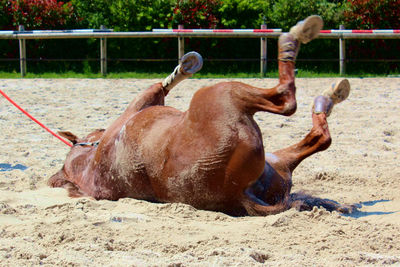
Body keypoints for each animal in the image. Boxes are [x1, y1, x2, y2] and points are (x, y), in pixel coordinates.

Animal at [49, 16, 354, 216]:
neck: (90, 164)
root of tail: (240, 194)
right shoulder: (139, 105)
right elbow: (160, 86)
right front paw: (186, 66)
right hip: (223, 93)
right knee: (287, 101)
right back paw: (302, 45)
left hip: (278, 163)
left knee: (318, 137)